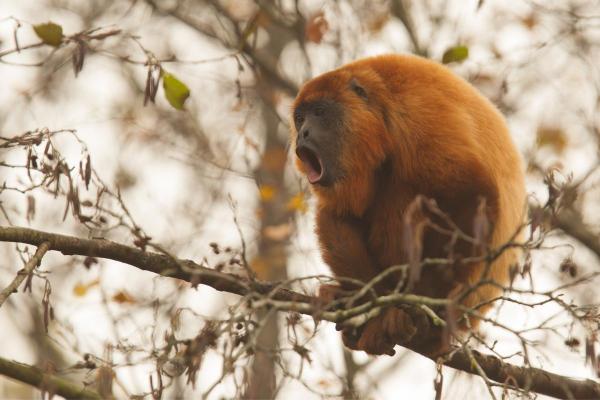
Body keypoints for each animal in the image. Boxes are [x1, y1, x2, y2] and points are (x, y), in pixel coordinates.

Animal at [292, 54, 528, 356]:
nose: (303, 134)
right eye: (300, 119)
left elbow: (472, 193)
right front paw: (365, 302)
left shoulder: (419, 114)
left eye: (320, 112)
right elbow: (340, 213)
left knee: (403, 190)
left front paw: (422, 310)